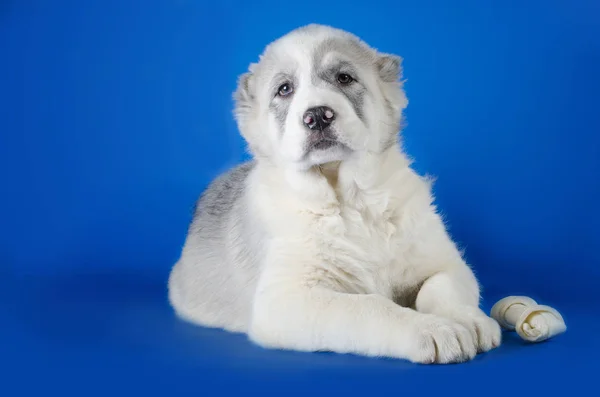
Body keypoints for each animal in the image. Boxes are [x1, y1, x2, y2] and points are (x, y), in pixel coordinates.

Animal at [166, 24, 500, 362]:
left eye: (344, 78)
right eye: (284, 89)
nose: (317, 116)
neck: (353, 201)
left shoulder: (449, 265)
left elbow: (441, 288)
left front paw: (467, 319)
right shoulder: (285, 299)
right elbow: (371, 307)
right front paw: (431, 328)